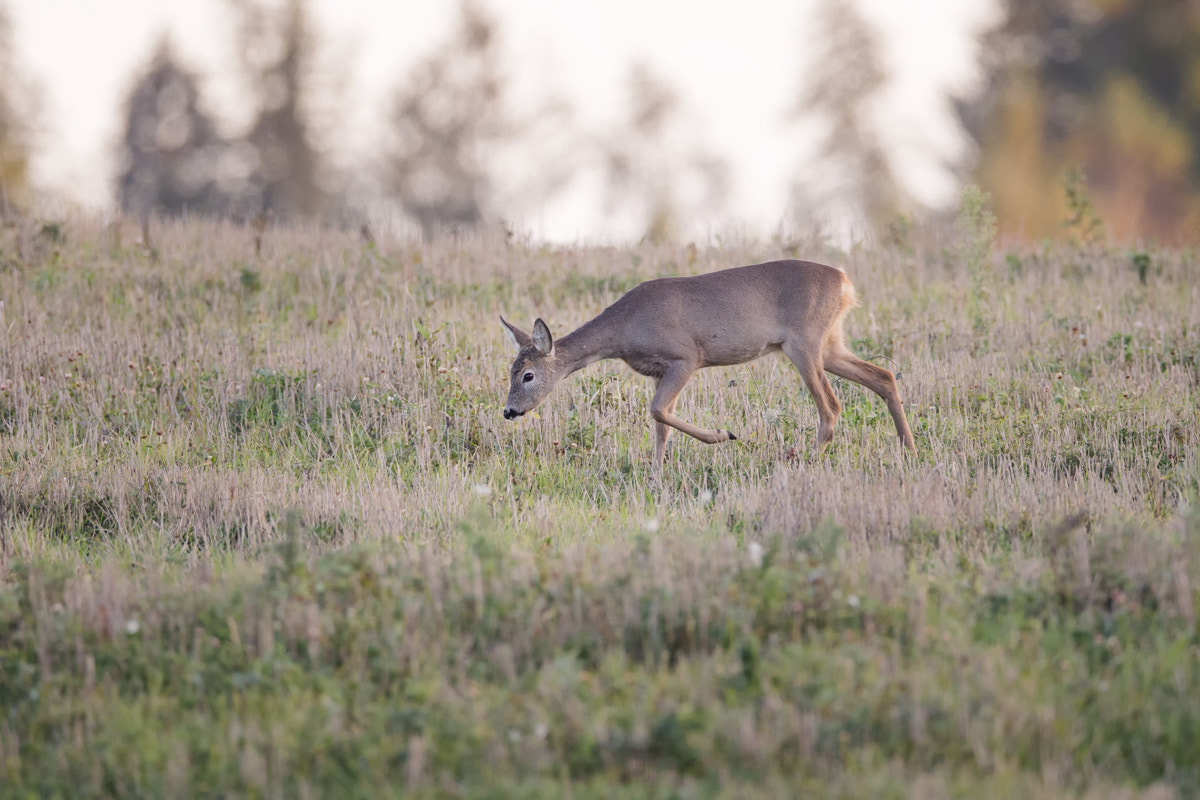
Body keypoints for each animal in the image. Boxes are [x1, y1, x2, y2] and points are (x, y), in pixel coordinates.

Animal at [501, 257, 912, 470]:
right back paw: (909, 448)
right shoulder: (658, 371)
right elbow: (660, 423)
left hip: (804, 343)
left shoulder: (686, 356)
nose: (508, 411)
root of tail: (844, 282)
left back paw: (804, 460)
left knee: (831, 405)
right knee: (883, 376)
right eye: (511, 371)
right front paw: (655, 474)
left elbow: (658, 410)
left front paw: (723, 435)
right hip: (830, 343)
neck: (624, 328)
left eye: (528, 375)